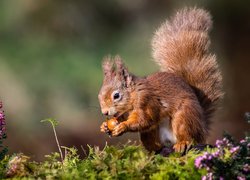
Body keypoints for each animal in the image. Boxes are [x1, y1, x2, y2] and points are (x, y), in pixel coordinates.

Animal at [97, 7, 223, 153]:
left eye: (116, 95)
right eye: (99, 95)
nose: (105, 112)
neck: (134, 94)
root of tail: (202, 129)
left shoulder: (147, 101)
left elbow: (144, 120)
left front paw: (123, 126)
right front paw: (104, 126)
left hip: (184, 117)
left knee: (188, 135)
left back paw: (183, 143)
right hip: (152, 133)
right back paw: (155, 149)